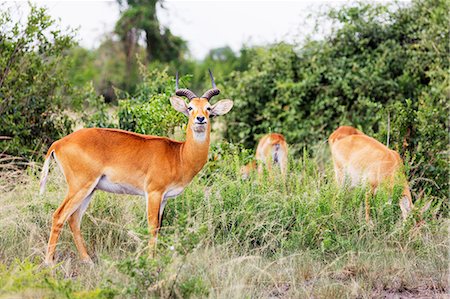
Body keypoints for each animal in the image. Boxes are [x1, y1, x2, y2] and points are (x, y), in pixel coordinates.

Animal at [40, 71, 234, 264]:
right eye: (190, 108)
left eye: (209, 108)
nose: (200, 119)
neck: (179, 155)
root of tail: (58, 143)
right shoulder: (153, 193)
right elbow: (152, 226)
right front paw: (150, 261)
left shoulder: (164, 198)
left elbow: (159, 227)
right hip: (80, 186)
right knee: (59, 215)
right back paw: (49, 262)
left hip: (90, 189)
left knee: (73, 219)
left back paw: (88, 260)